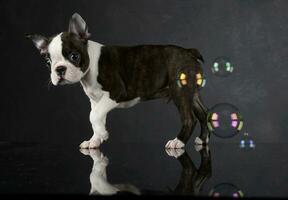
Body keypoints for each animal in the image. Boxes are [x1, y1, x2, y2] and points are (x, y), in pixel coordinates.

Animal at [27, 13, 210, 149]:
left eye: (74, 56)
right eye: (48, 62)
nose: (59, 70)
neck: (91, 67)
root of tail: (189, 51)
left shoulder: (115, 92)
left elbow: (93, 116)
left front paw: (102, 135)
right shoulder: (96, 100)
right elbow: (96, 117)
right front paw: (95, 139)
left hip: (180, 92)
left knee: (189, 118)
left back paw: (178, 142)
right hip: (192, 93)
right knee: (203, 113)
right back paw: (202, 139)